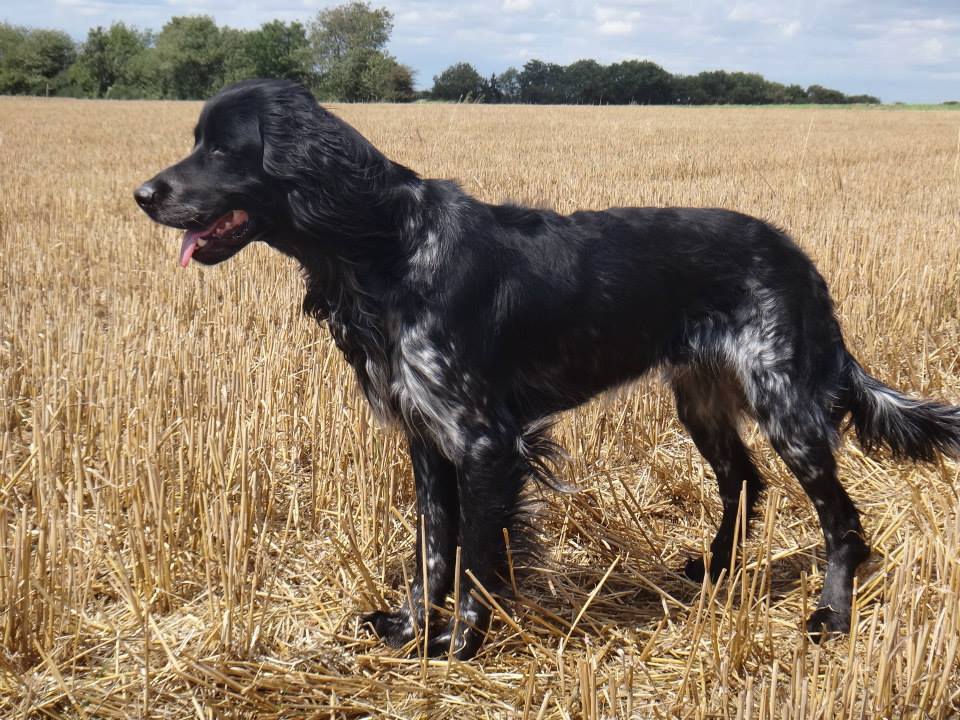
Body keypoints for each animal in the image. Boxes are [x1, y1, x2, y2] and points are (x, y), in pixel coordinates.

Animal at [135, 79, 960, 660]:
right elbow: (430, 551)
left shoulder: (485, 443)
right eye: (196, 142)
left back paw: (830, 616)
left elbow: (474, 560)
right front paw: (410, 631)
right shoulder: (426, 441)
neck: (385, 247)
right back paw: (718, 570)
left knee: (841, 519)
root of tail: (799, 258)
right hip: (701, 400)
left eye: (222, 150)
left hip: (785, 403)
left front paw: (460, 646)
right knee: (743, 479)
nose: (142, 193)